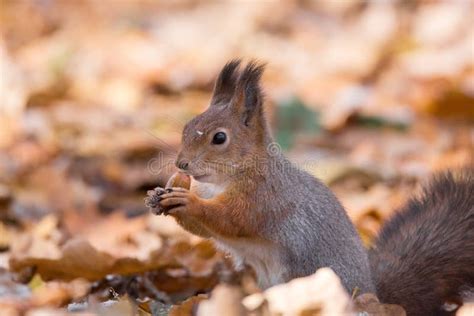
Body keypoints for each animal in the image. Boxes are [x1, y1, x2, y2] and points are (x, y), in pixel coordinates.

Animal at [145, 59, 474, 316]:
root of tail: (373, 297)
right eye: (187, 126)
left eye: (219, 138)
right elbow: (205, 230)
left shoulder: (266, 197)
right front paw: (160, 195)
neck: (223, 181)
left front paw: (188, 202)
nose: (182, 164)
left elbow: (232, 219)